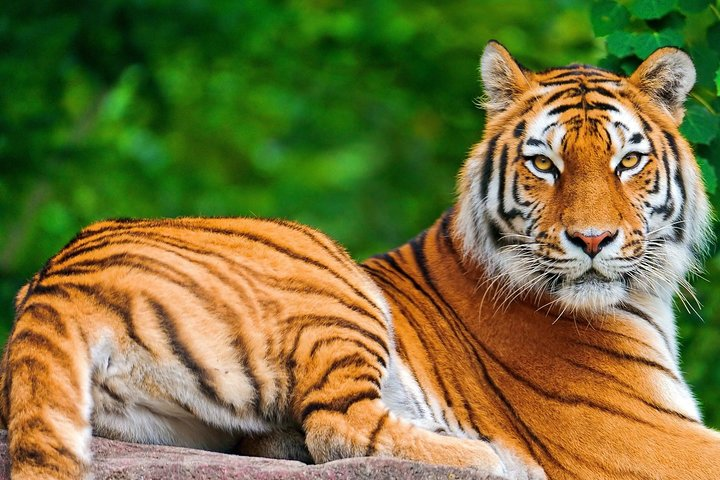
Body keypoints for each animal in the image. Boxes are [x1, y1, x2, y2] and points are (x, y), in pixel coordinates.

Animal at [1, 40, 719, 480]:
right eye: (544, 164)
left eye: (629, 161)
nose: (592, 241)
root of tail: (54, 281)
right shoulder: (642, 436)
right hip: (330, 281)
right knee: (338, 425)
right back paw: (489, 458)